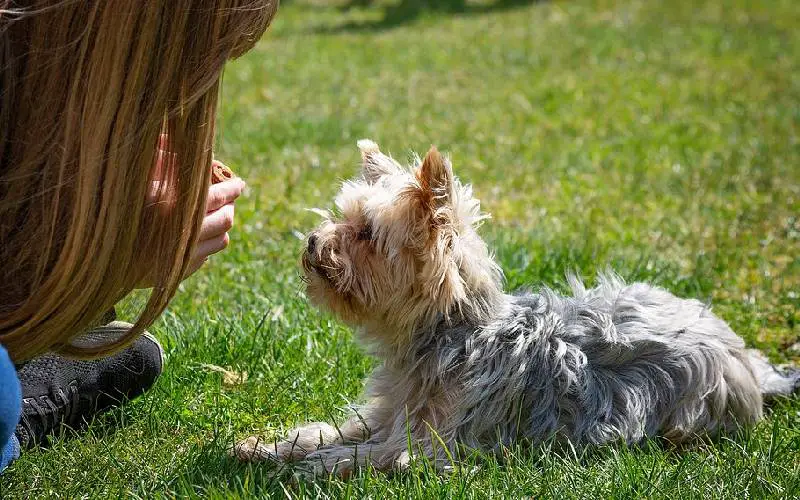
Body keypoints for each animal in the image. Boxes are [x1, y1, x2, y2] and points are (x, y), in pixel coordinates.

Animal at [233, 140, 800, 476]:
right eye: (340, 218)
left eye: (367, 234)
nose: (312, 242)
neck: (450, 333)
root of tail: (748, 361)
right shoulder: (389, 412)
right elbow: (333, 430)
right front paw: (267, 447)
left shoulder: (433, 446)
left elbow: (368, 453)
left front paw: (307, 466)